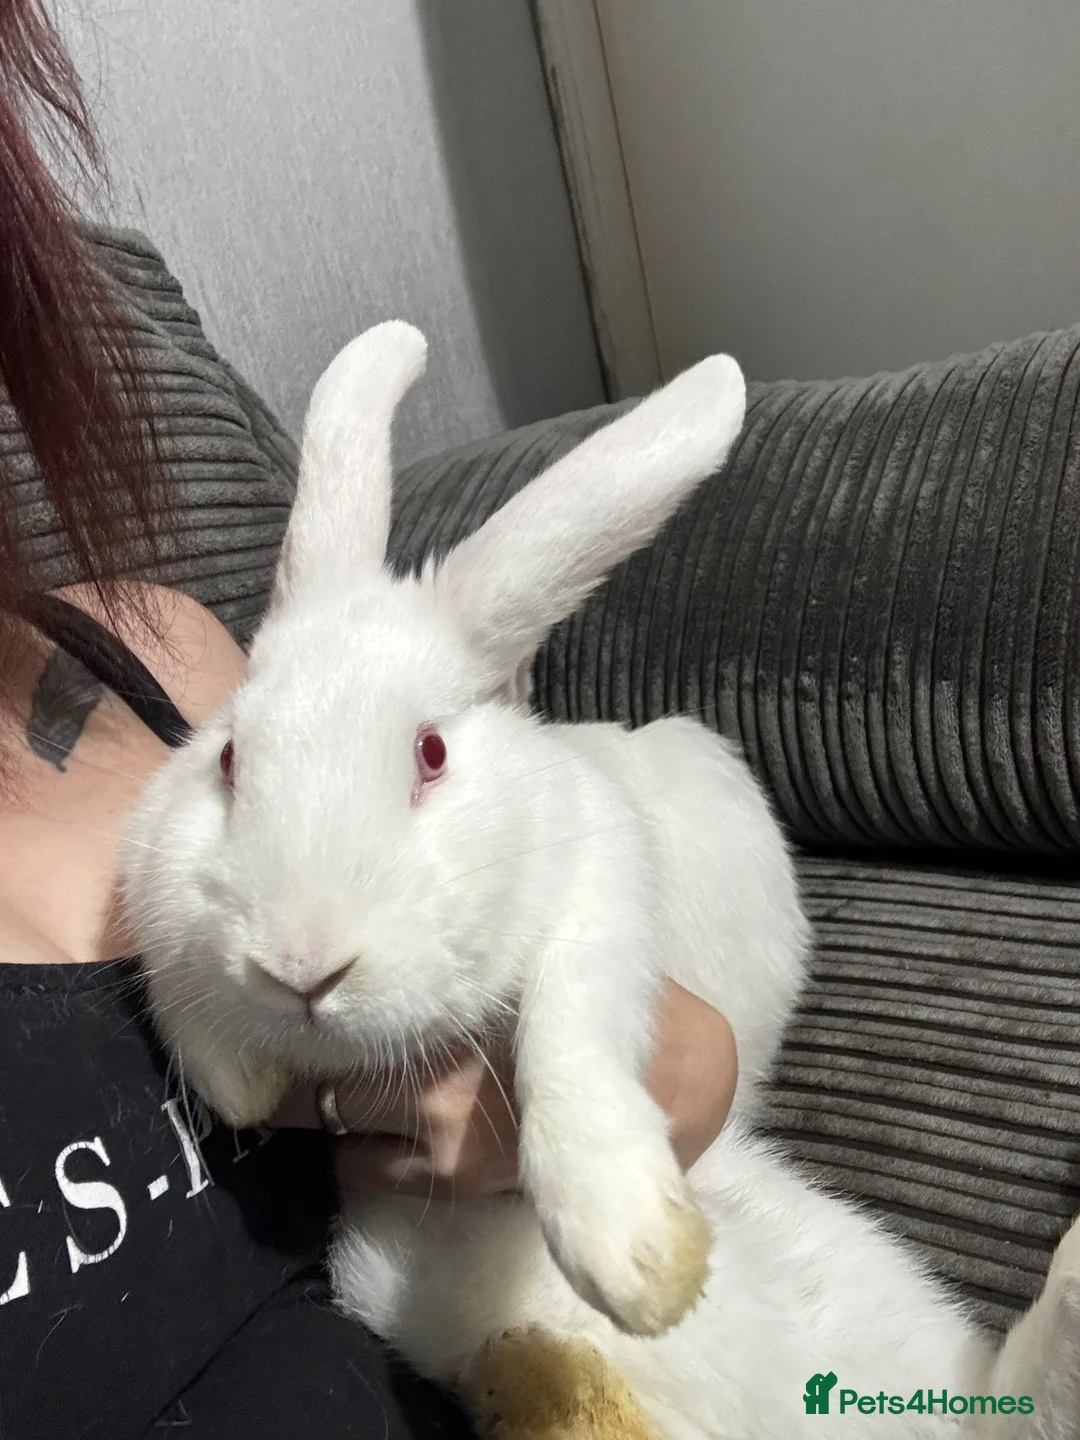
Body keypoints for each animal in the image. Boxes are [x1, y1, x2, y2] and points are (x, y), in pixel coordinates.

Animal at [123, 323, 1080, 1440]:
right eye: (231, 760)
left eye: (431, 753)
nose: (302, 966)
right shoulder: (156, 887)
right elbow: (176, 993)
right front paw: (241, 1082)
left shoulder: (599, 890)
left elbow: (570, 1032)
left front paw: (633, 1254)